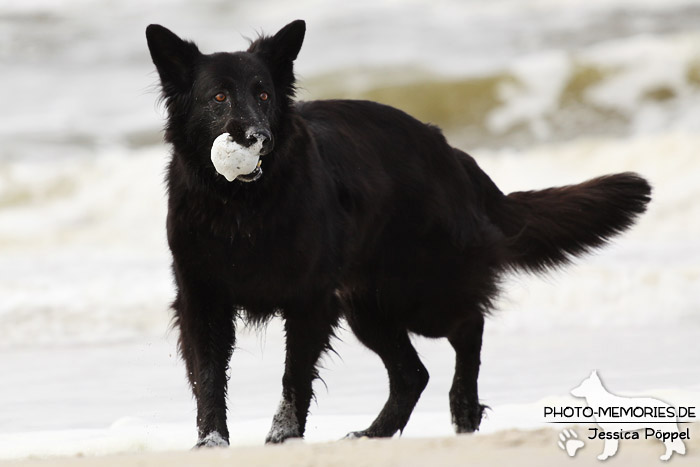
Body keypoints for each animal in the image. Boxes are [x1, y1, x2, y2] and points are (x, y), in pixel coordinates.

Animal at [145, 20, 652, 448]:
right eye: (218, 98)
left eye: (264, 95)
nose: (257, 138)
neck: (241, 207)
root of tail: (452, 155)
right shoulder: (202, 301)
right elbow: (208, 375)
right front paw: (212, 442)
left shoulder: (310, 301)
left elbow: (294, 377)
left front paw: (283, 437)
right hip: (366, 305)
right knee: (413, 374)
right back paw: (374, 435)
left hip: (418, 296)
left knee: (469, 325)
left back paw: (463, 410)